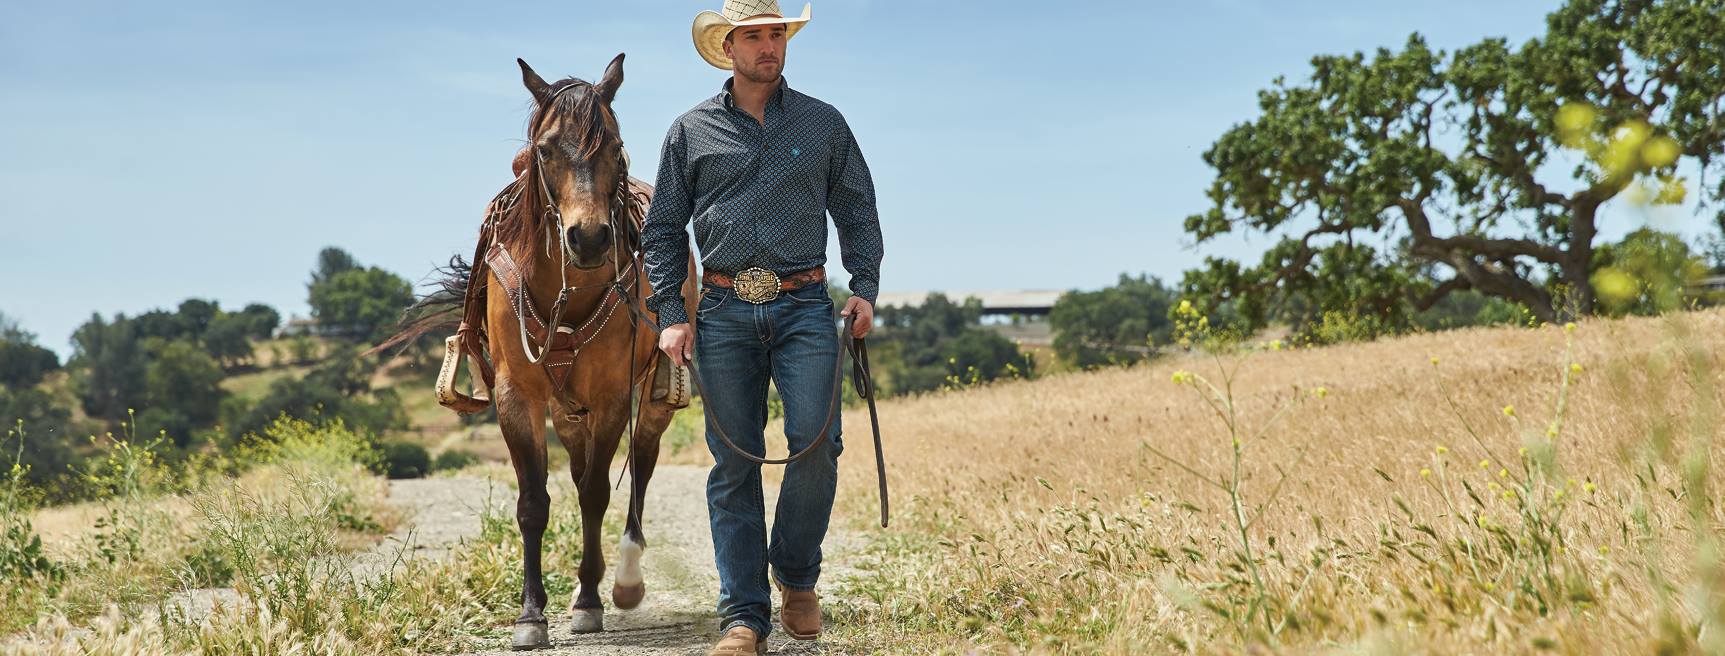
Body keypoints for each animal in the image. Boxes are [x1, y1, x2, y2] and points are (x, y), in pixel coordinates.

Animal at [377, 54, 697, 650]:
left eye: (614, 146)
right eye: (546, 149)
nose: (589, 239)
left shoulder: (612, 398)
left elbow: (597, 493)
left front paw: (591, 601)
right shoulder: (517, 396)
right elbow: (534, 503)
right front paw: (531, 615)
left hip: (652, 395)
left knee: (640, 468)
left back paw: (623, 579)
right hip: (566, 412)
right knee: (577, 468)